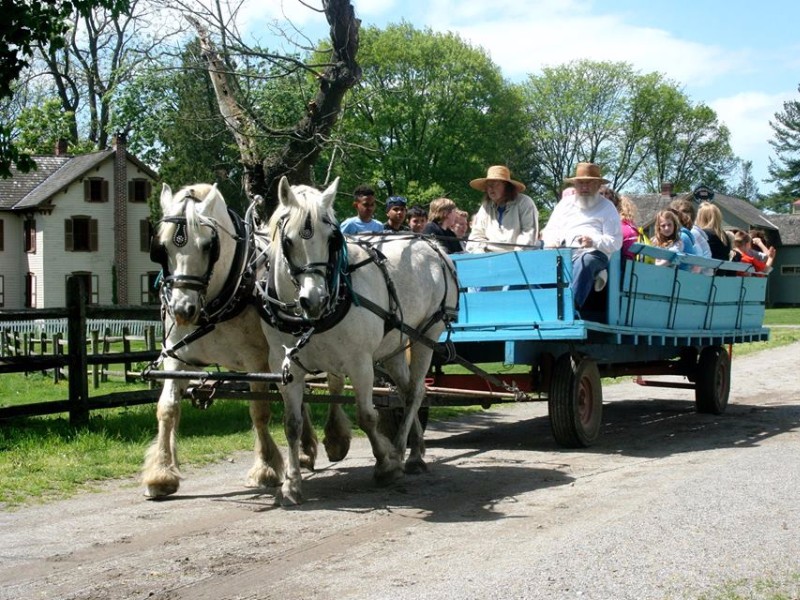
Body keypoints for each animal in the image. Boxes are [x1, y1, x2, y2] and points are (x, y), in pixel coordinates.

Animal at [142, 185, 348, 500]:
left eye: (208, 245)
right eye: (162, 246)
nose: (182, 309)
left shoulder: (258, 362)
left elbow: (259, 411)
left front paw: (266, 469)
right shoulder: (176, 357)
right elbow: (167, 409)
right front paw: (161, 474)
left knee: (335, 384)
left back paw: (335, 439)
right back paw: (304, 451)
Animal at [260, 176, 460, 504]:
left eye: (332, 239)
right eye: (287, 241)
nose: (314, 300)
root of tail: (432, 245)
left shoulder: (360, 363)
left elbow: (366, 416)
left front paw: (386, 465)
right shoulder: (285, 365)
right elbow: (292, 424)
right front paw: (291, 484)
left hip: (426, 336)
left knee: (416, 392)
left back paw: (405, 454)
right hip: (396, 345)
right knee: (405, 391)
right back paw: (415, 449)